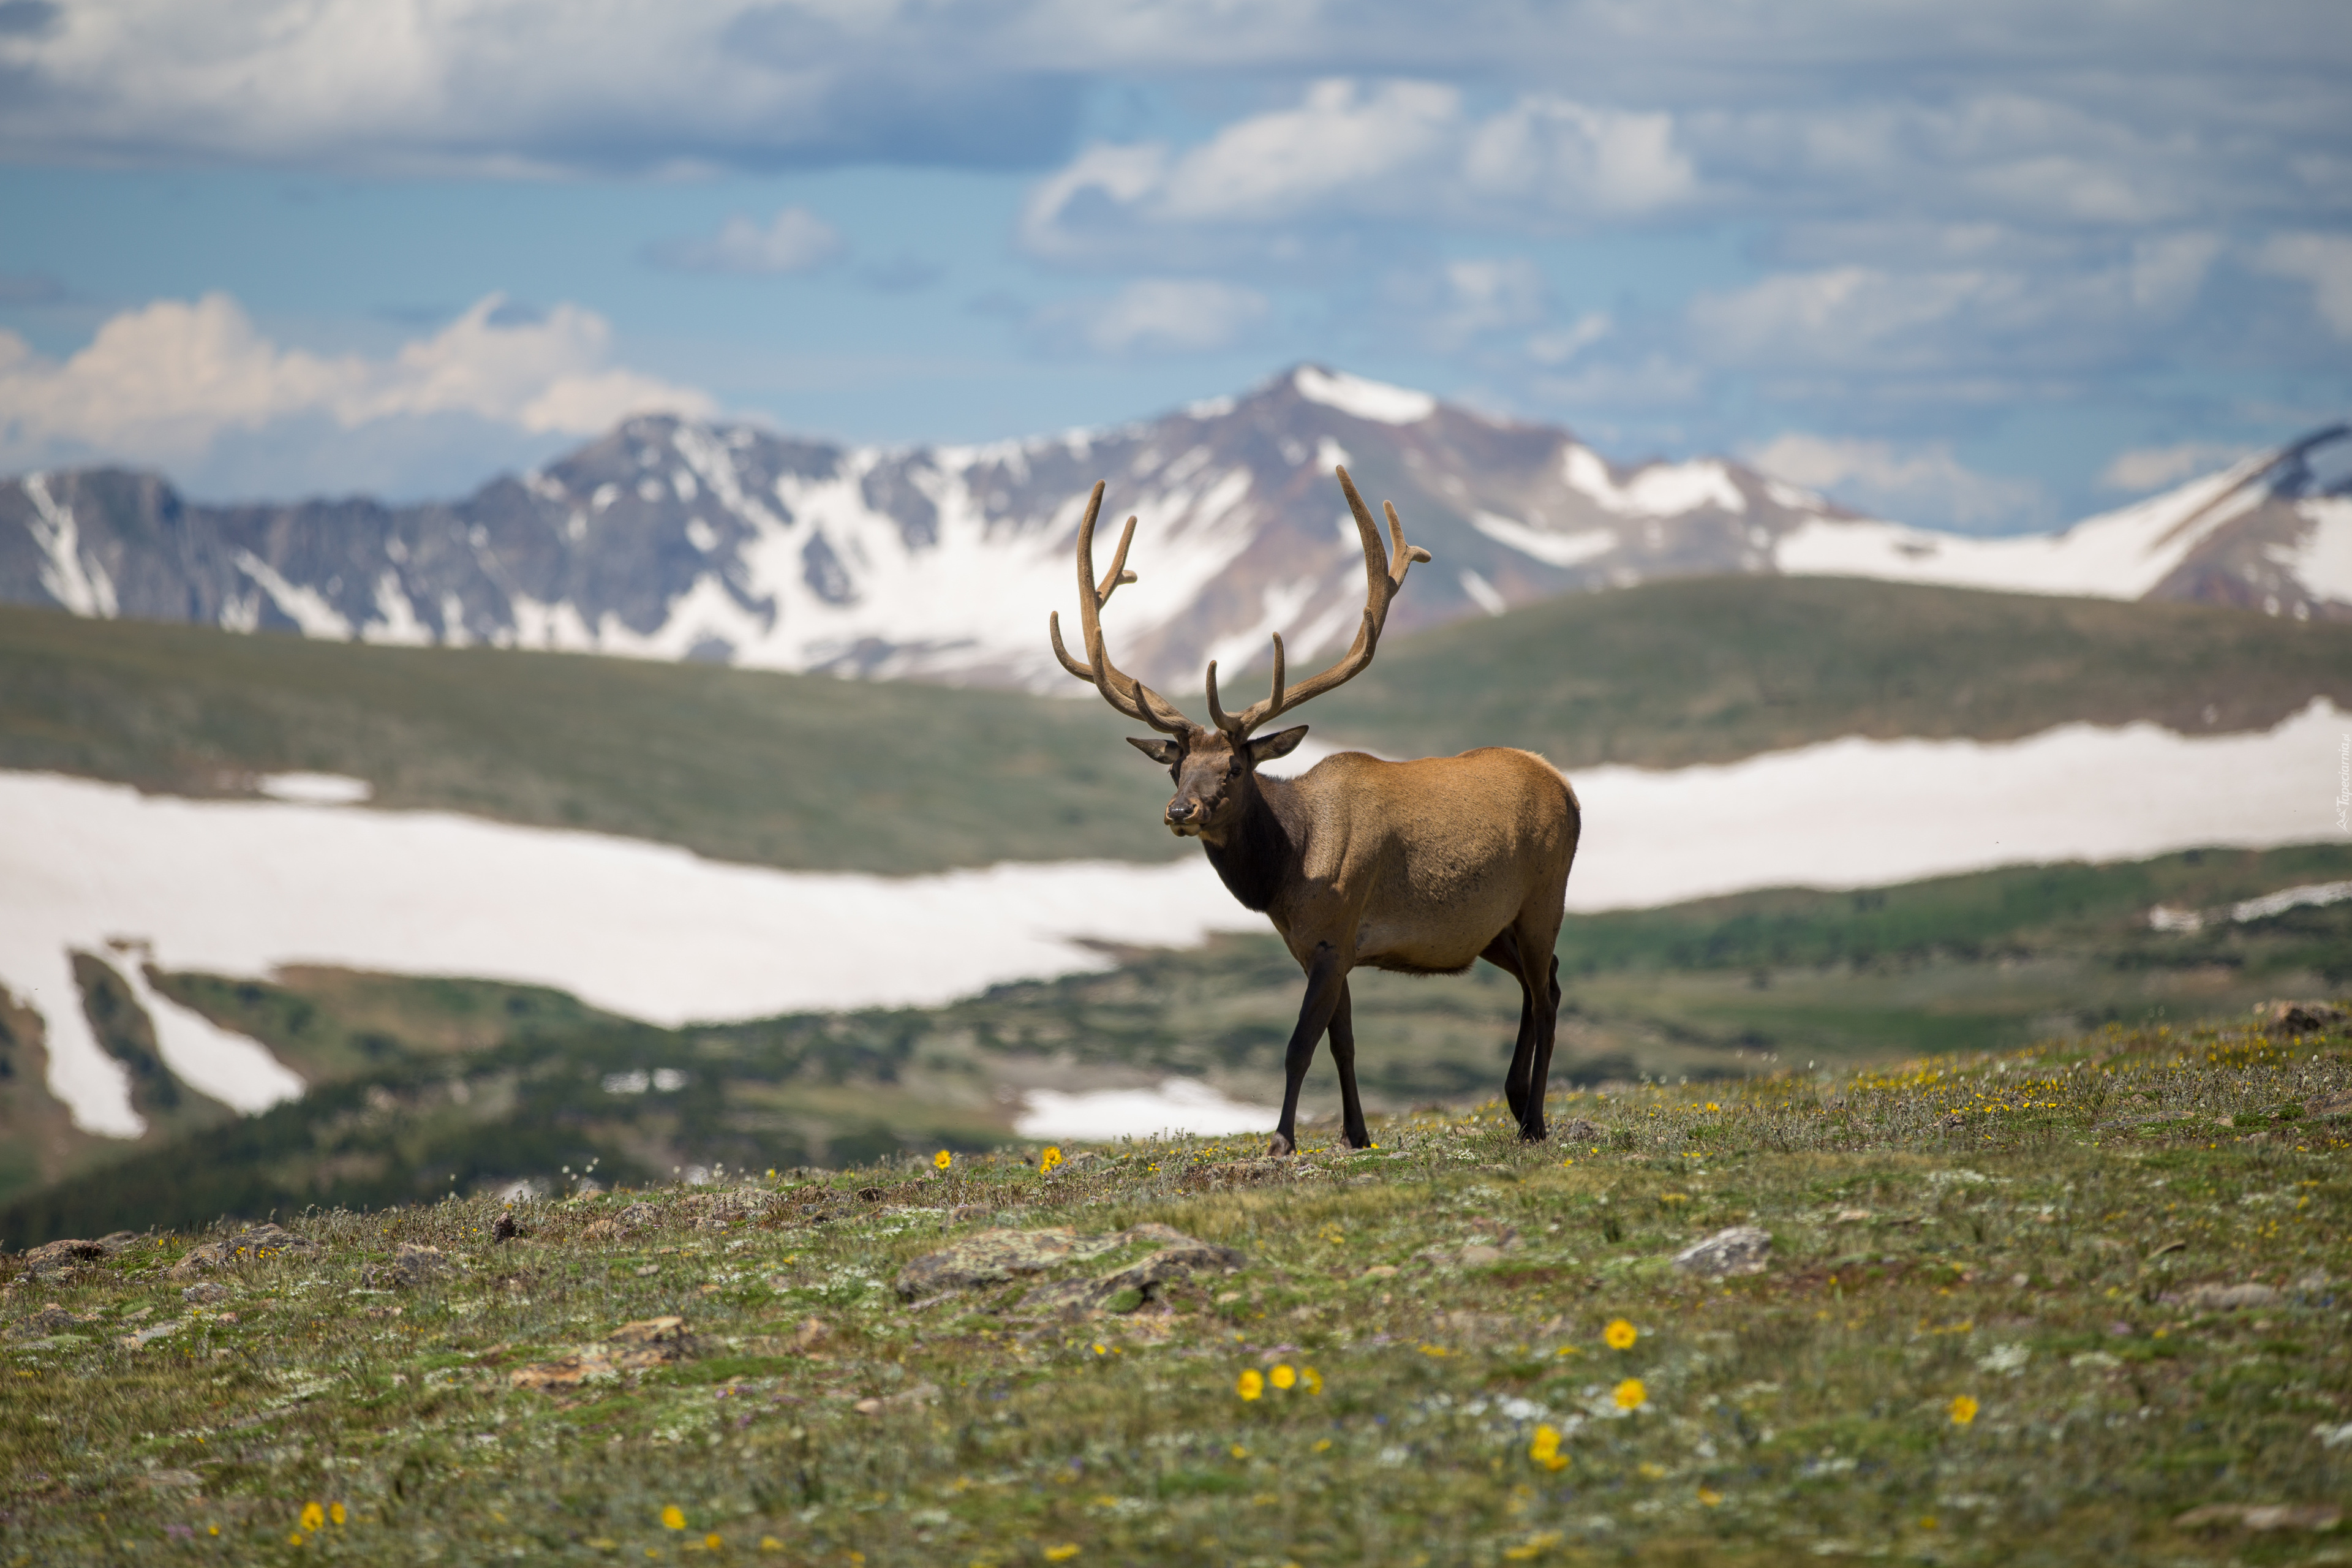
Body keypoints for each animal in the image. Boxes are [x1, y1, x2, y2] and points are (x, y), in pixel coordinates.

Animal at [1058, 465, 1589, 1152]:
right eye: (1176, 766)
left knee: (1548, 993)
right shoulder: (1315, 946)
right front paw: (1356, 1134)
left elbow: (1299, 1045)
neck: (1288, 871)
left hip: (1543, 897)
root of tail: (1566, 786)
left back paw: (1535, 1120)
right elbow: (1344, 1043)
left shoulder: (1338, 930)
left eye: (1234, 768)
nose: (1180, 811)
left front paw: (1282, 1140)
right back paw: (1517, 1098)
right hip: (1494, 927)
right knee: (1542, 980)